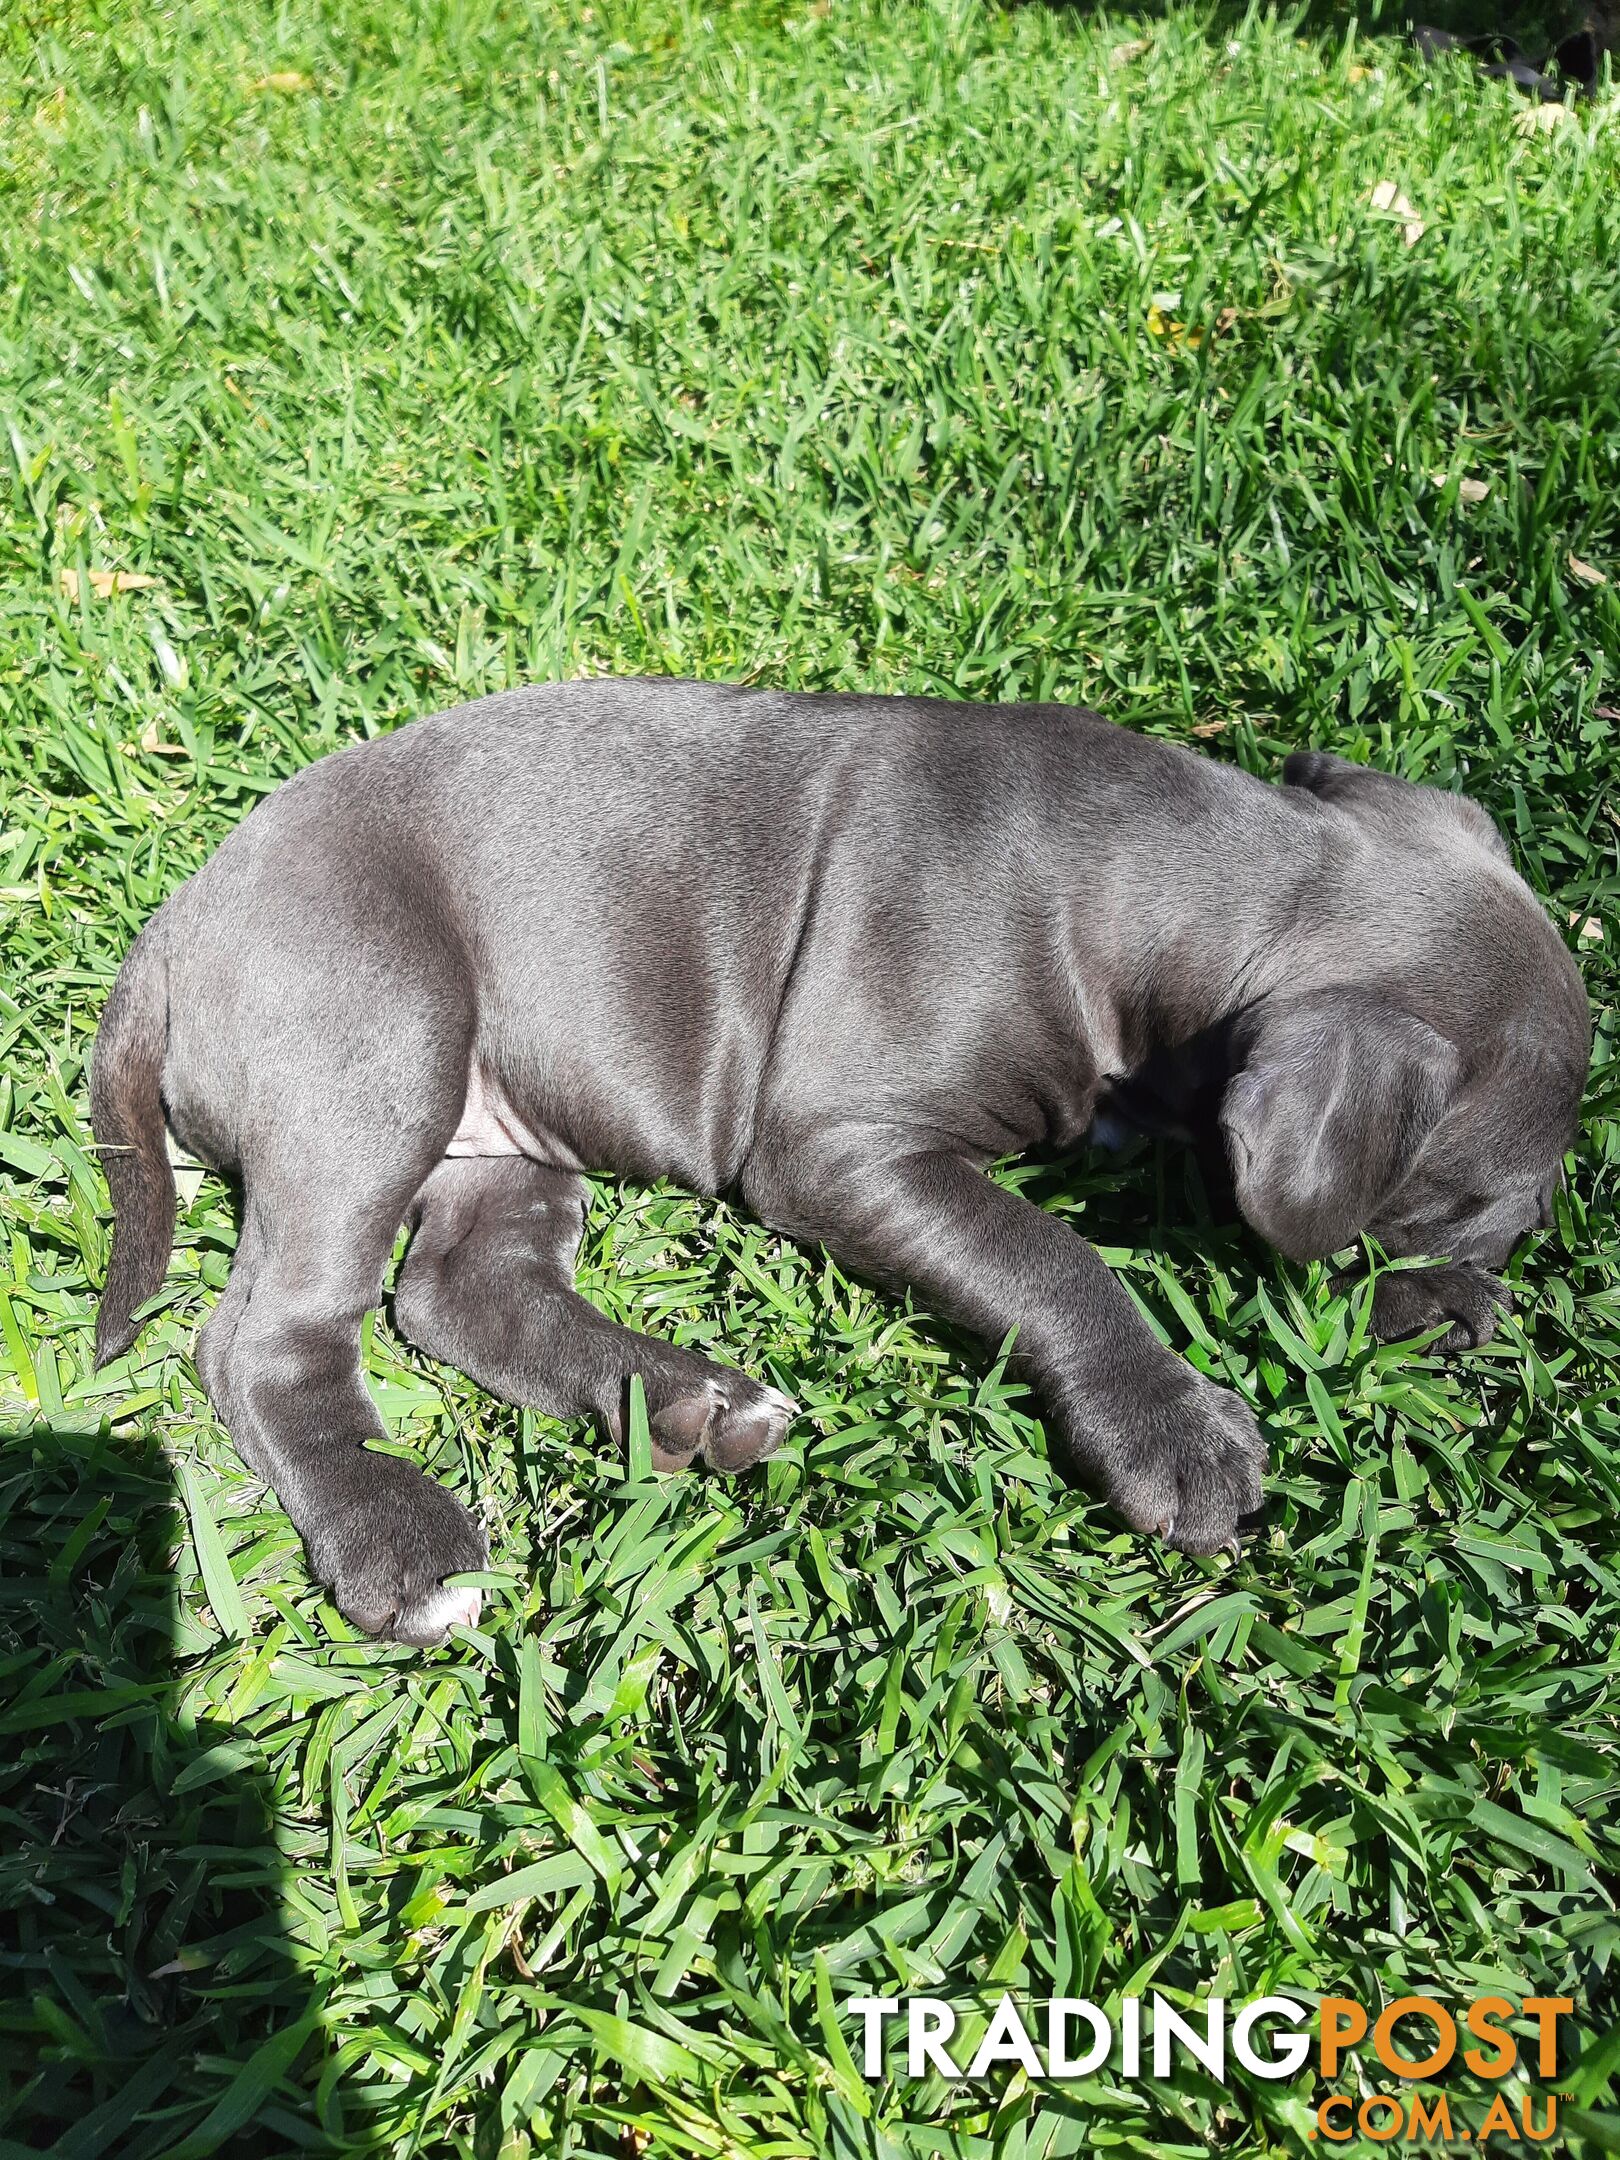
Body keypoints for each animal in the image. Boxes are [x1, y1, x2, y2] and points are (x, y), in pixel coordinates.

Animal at [91, 682, 1598, 1641]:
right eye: (1486, 1209)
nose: (1496, 1315)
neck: (1183, 891)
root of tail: (176, 919)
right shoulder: (837, 1145)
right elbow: (1045, 1254)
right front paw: (1168, 1425)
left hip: (511, 1111)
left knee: (463, 1289)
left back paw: (689, 1408)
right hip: (378, 1036)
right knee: (266, 1340)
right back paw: (396, 1541)